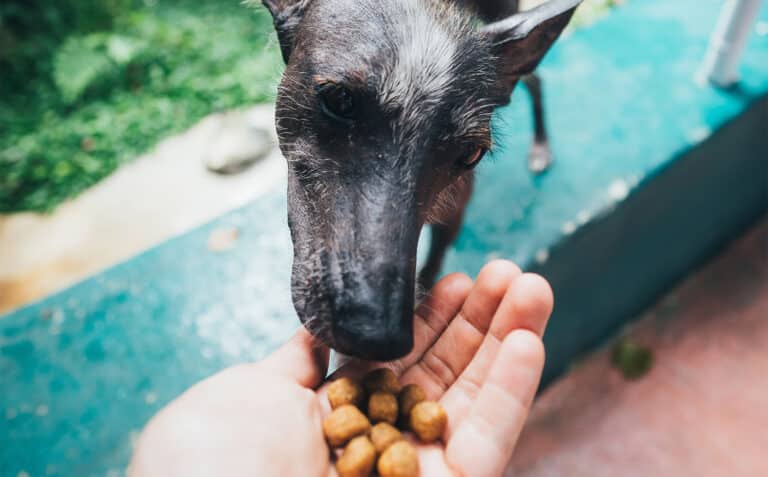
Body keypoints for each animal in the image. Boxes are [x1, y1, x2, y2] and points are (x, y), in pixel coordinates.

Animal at [260, 0, 580, 358]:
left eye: (470, 153)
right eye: (338, 99)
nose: (377, 336)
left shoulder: (454, 213)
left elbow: (431, 270)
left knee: (534, 80)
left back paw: (541, 146)